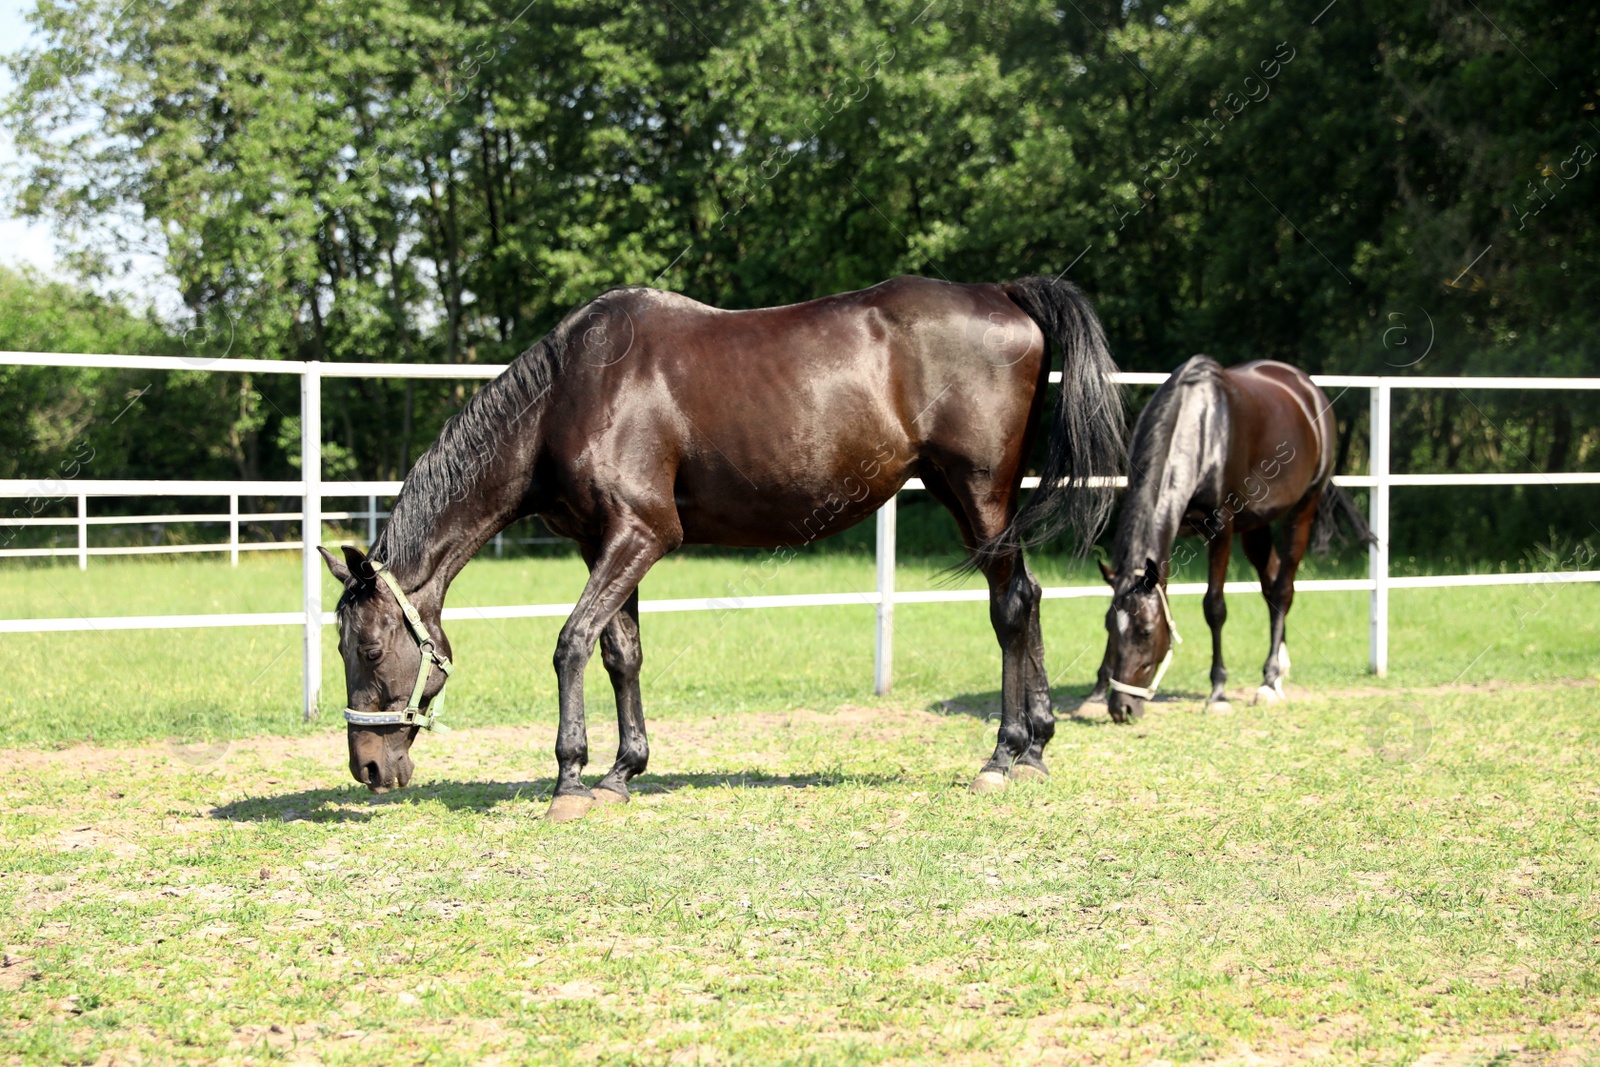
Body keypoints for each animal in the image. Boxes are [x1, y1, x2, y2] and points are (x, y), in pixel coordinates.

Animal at [315, 273, 1126, 819]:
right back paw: (1034, 748)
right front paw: (622, 772)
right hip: (970, 501)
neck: (568, 397)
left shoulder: (642, 535)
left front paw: (570, 778)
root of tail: (1004, 294)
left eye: (369, 646)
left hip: (981, 497)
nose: (367, 766)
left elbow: (572, 641)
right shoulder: (607, 545)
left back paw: (1004, 754)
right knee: (1023, 599)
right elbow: (621, 653)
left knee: (1011, 608)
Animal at [1088, 358, 1376, 726]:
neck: (1200, 427)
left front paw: (1218, 692)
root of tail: (1307, 388)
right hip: (1257, 525)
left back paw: (1269, 682)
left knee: (1284, 589)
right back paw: (1278, 672)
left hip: (1303, 508)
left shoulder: (1221, 529)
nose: (1122, 708)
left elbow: (1214, 607)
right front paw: (1096, 692)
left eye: (1148, 632)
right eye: (1110, 627)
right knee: (1272, 585)